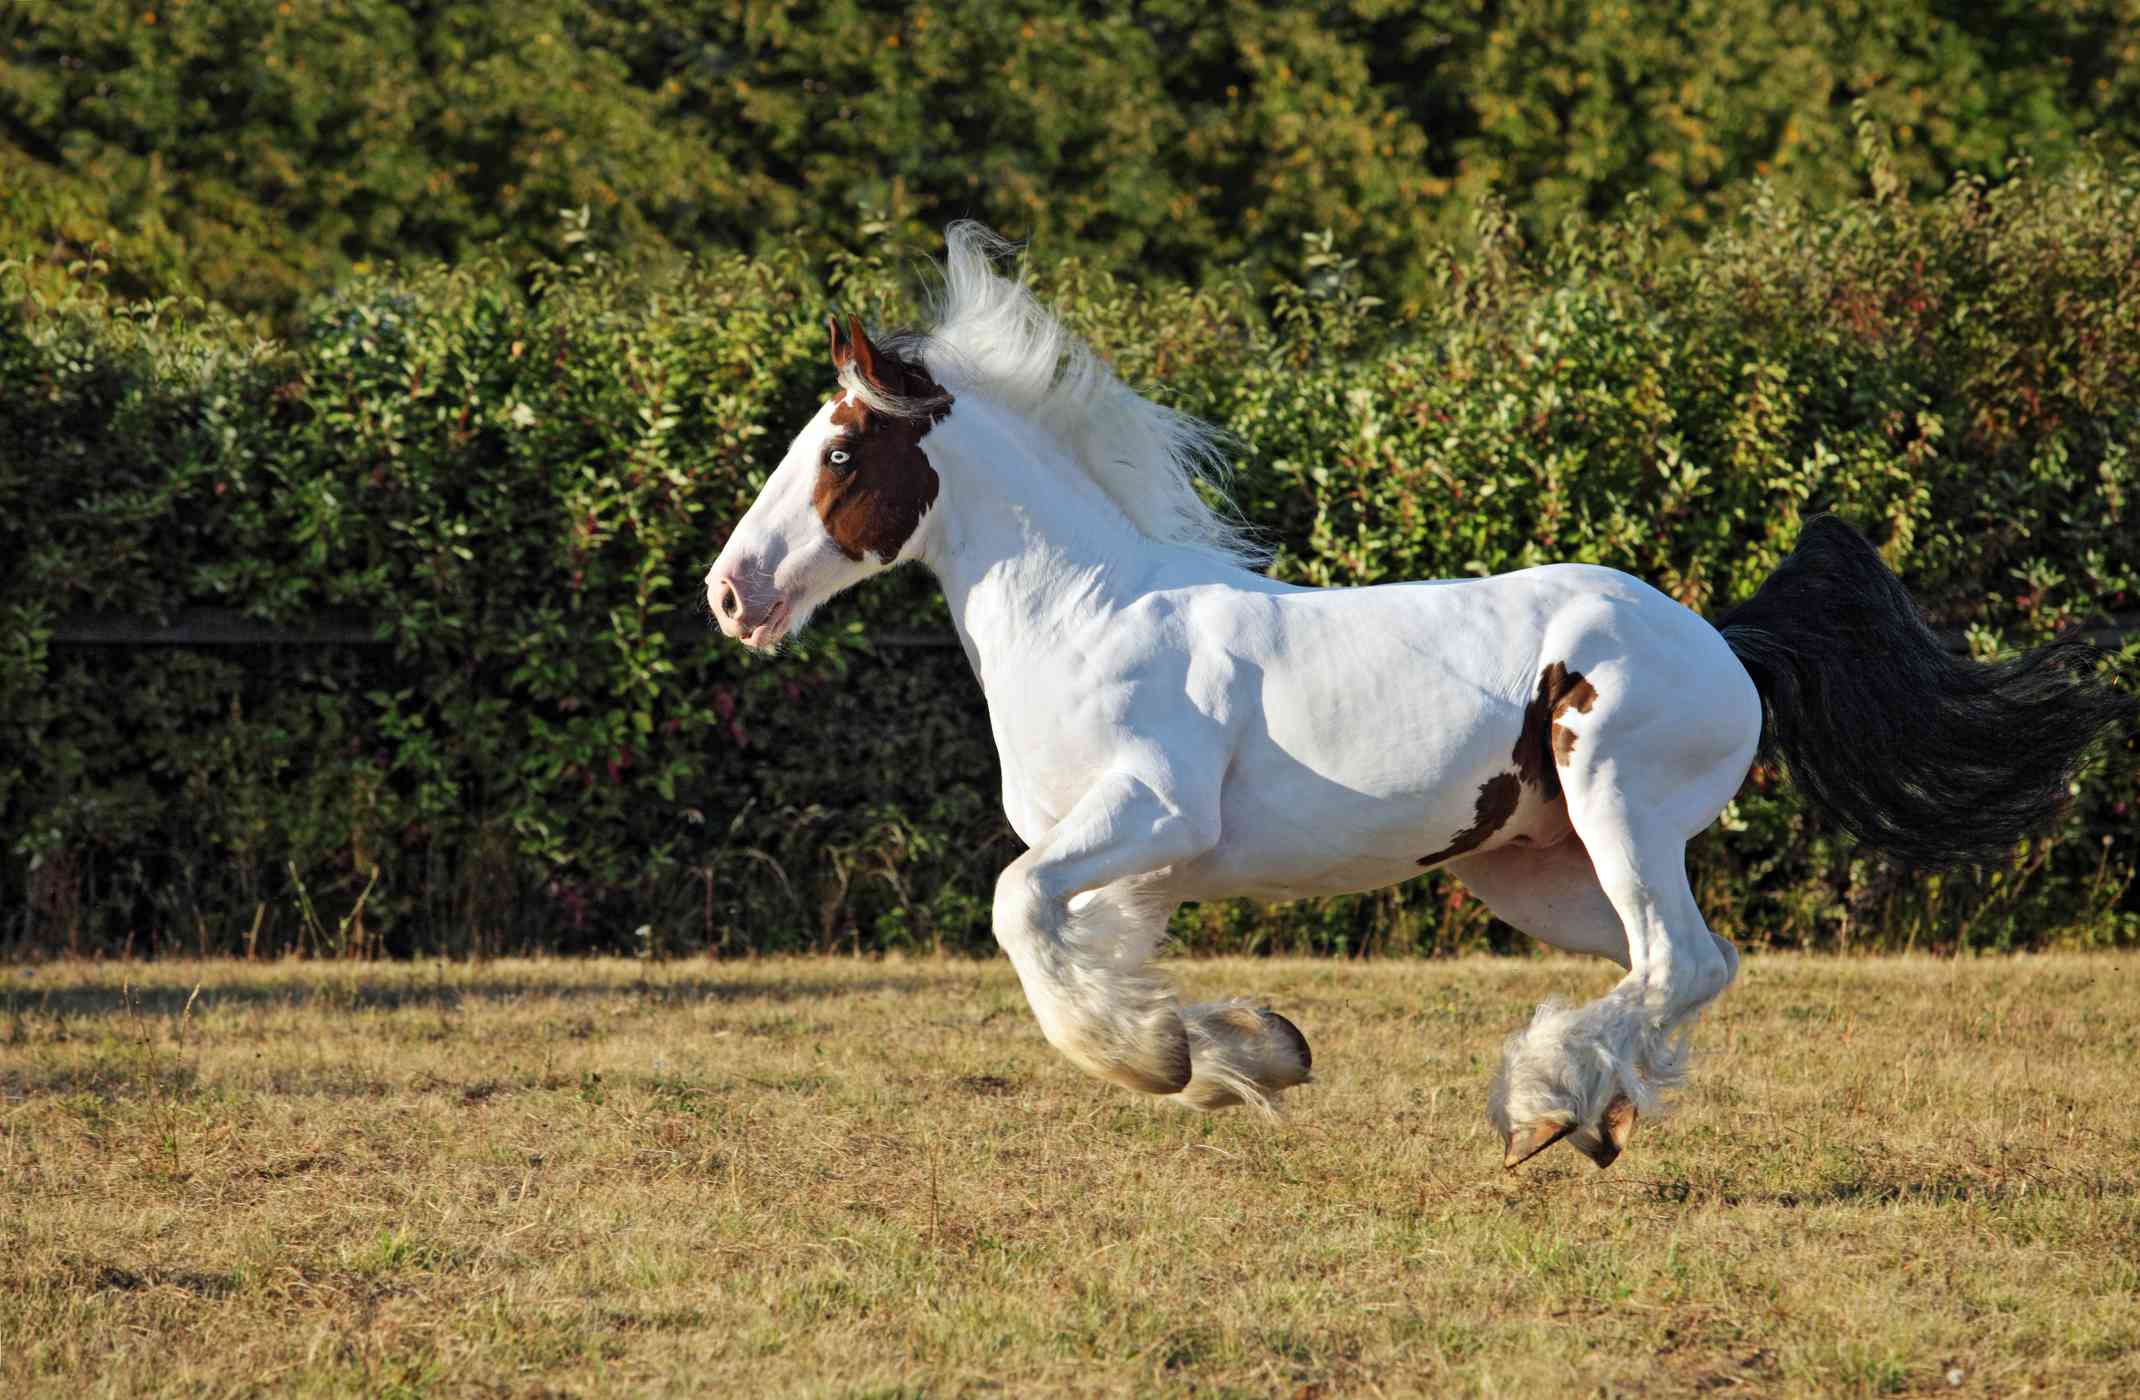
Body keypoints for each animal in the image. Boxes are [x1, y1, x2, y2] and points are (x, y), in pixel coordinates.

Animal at [710, 224, 2131, 1173]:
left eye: (840, 452)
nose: (732, 593)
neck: (1088, 616)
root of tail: (1720, 637)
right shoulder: (1128, 866)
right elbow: (1086, 952)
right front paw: (1242, 1052)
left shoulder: (1151, 818)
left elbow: (1019, 914)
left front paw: (1170, 1058)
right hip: (1532, 868)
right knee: (1675, 966)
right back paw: (1590, 1110)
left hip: (1618, 806)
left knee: (1680, 956)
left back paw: (1545, 1108)